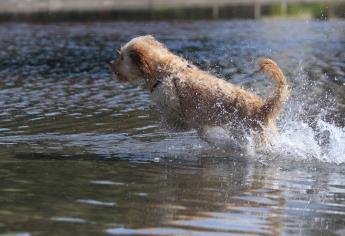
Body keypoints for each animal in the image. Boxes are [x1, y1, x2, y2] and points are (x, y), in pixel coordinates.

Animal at [111, 35, 288, 146]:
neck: (165, 72)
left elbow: (175, 122)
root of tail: (263, 108)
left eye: (122, 57)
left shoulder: (174, 106)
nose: (110, 64)